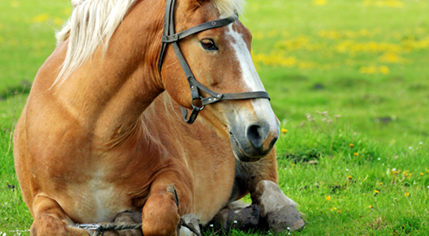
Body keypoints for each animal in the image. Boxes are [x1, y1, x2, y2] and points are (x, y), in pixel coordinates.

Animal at [13, 0, 304, 235]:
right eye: (208, 43)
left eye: (249, 39)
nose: (264, 128)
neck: (89, 134)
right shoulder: (42, 199)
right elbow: (50, 227)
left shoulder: (175, 176)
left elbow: (158, 217)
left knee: (267, 188)